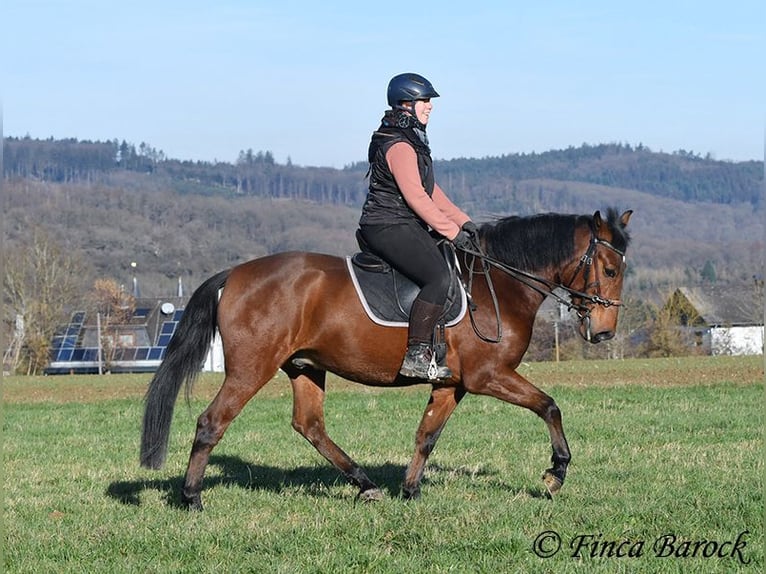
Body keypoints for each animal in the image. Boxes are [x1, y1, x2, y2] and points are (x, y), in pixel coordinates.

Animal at [141, 208, 632, 512]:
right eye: (610, 270)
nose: (605, 332)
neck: (499, 283)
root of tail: (235, 274)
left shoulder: (452, 383)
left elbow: (427, 436)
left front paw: (411, 490)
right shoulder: (489, 375)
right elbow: (550, 406)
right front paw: (556, 474)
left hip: (304, 366)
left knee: (309, 425)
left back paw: (366, 485)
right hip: (251, 369)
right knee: (212, 422)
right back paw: (192, 498)